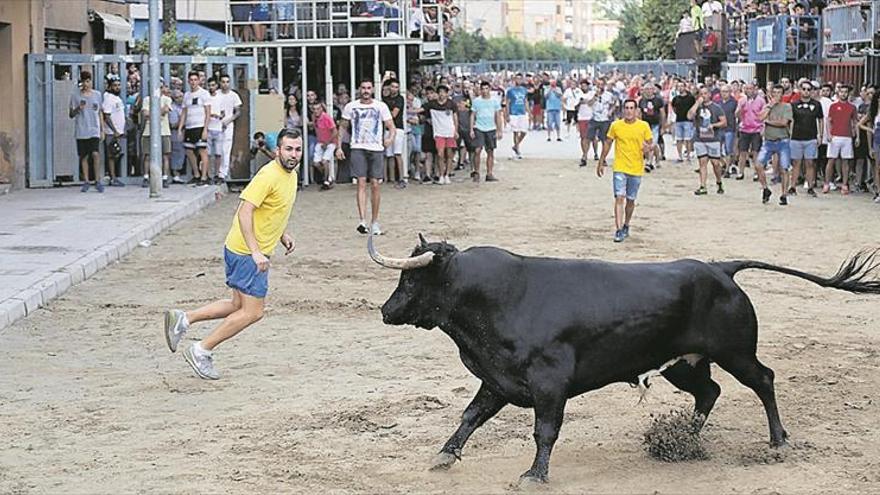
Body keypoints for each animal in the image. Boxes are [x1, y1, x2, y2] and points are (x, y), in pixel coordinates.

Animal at [366, 236, 880, 484]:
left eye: (410, 280)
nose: (386, 310)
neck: (492, 298)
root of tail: (719, 268)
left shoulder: (549, 383)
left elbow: (544, 430)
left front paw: (535, 474)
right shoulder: (499, 379)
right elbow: (471, 415)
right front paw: (443, 456)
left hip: (735, 352)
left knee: (764, 380)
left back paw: (777, 441)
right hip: (684, 363)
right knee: (710, 391)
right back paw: (685, 439)